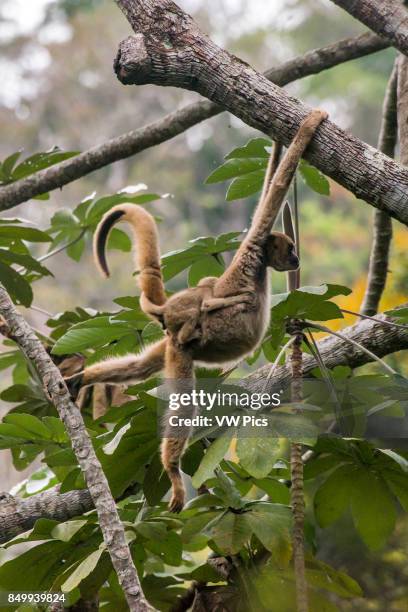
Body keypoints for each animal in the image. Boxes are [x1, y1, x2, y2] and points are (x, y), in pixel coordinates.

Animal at [67, 109, 328, 512]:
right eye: (291, 249)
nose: (298, 259)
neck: (259, 271)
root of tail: (170, 317)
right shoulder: (249, 253)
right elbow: (275, 193)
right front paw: (308, 126)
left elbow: (266, 189)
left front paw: (276, 141)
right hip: (182, 352)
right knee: (183, 403)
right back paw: (172, 470)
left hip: (170, 346)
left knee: (139, 367)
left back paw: (84, 378)